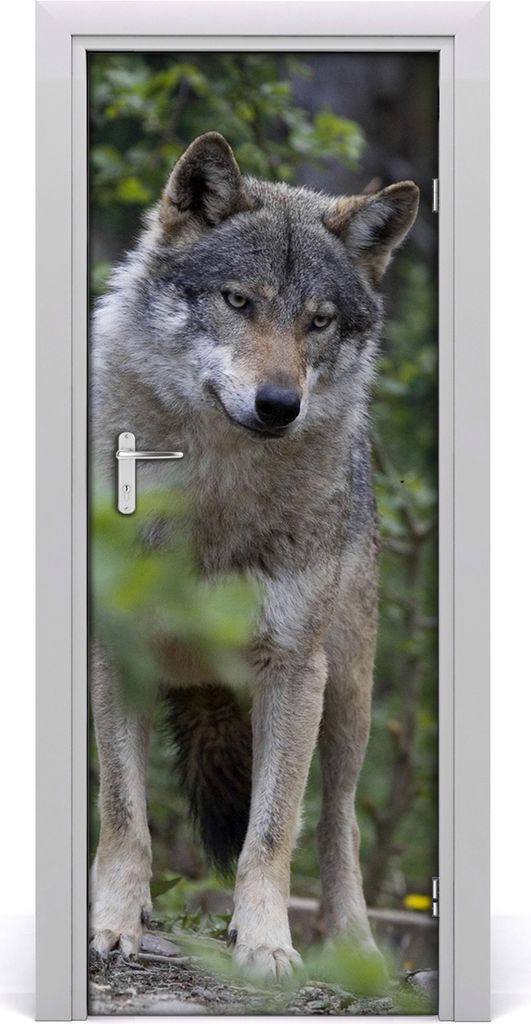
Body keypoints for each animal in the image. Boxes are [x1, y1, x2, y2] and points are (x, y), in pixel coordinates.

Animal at [89, 131, 419, 980]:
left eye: (319, 321)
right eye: (238, 301)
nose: (278, 405)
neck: (212, 498)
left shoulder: (294, 670)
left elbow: (270, 833)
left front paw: (266, 944)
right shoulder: (116, 649)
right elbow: (123, 815)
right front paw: (112, 925)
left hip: (348, 694)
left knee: (339, 823)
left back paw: (354, 946)